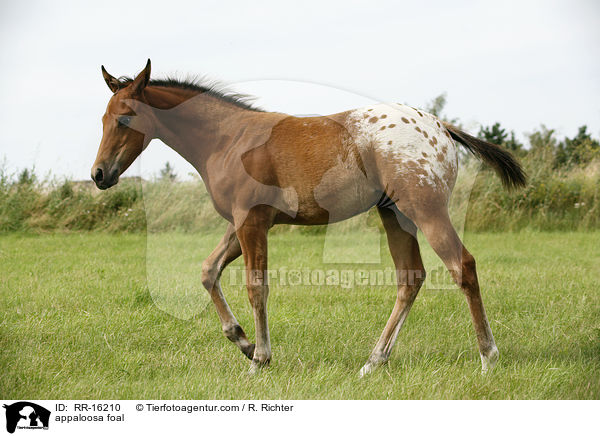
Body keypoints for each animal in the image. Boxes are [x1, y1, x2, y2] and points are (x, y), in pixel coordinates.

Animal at [90, 59, 524, 376]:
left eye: (125, 119)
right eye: (103, 119)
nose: (99, 174)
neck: (227, 139)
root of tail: (440, 126)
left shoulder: (251, 223)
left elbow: (256, 287)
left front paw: (260, 359)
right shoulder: (240, 223)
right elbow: (208, 271)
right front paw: (243, 341)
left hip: (426, 209)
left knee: (462, 266)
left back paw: (488, 357)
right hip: (395, 215)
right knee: (410, 278)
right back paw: (373, 362)